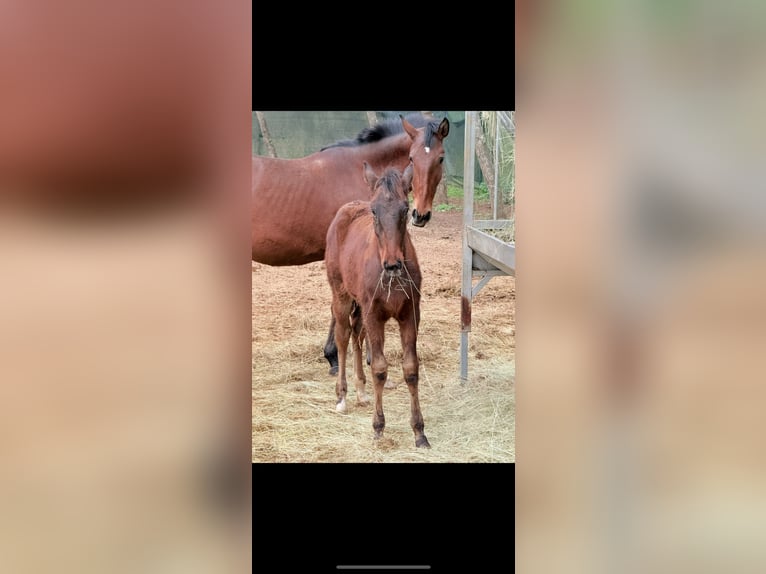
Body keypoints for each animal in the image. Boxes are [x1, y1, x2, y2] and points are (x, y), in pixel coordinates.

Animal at [326, 162, 432, 450]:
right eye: (374, 211)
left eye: (405, 209)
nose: (393, 264)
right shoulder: (374, 315)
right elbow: (380, 369)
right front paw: (378, 427)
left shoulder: (410, 314)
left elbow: (410, 369)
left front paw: (419, 432)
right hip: (341, 296)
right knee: (343, 337)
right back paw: (342, 397)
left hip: (360, 307)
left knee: (356, 335)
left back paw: (361, 391)